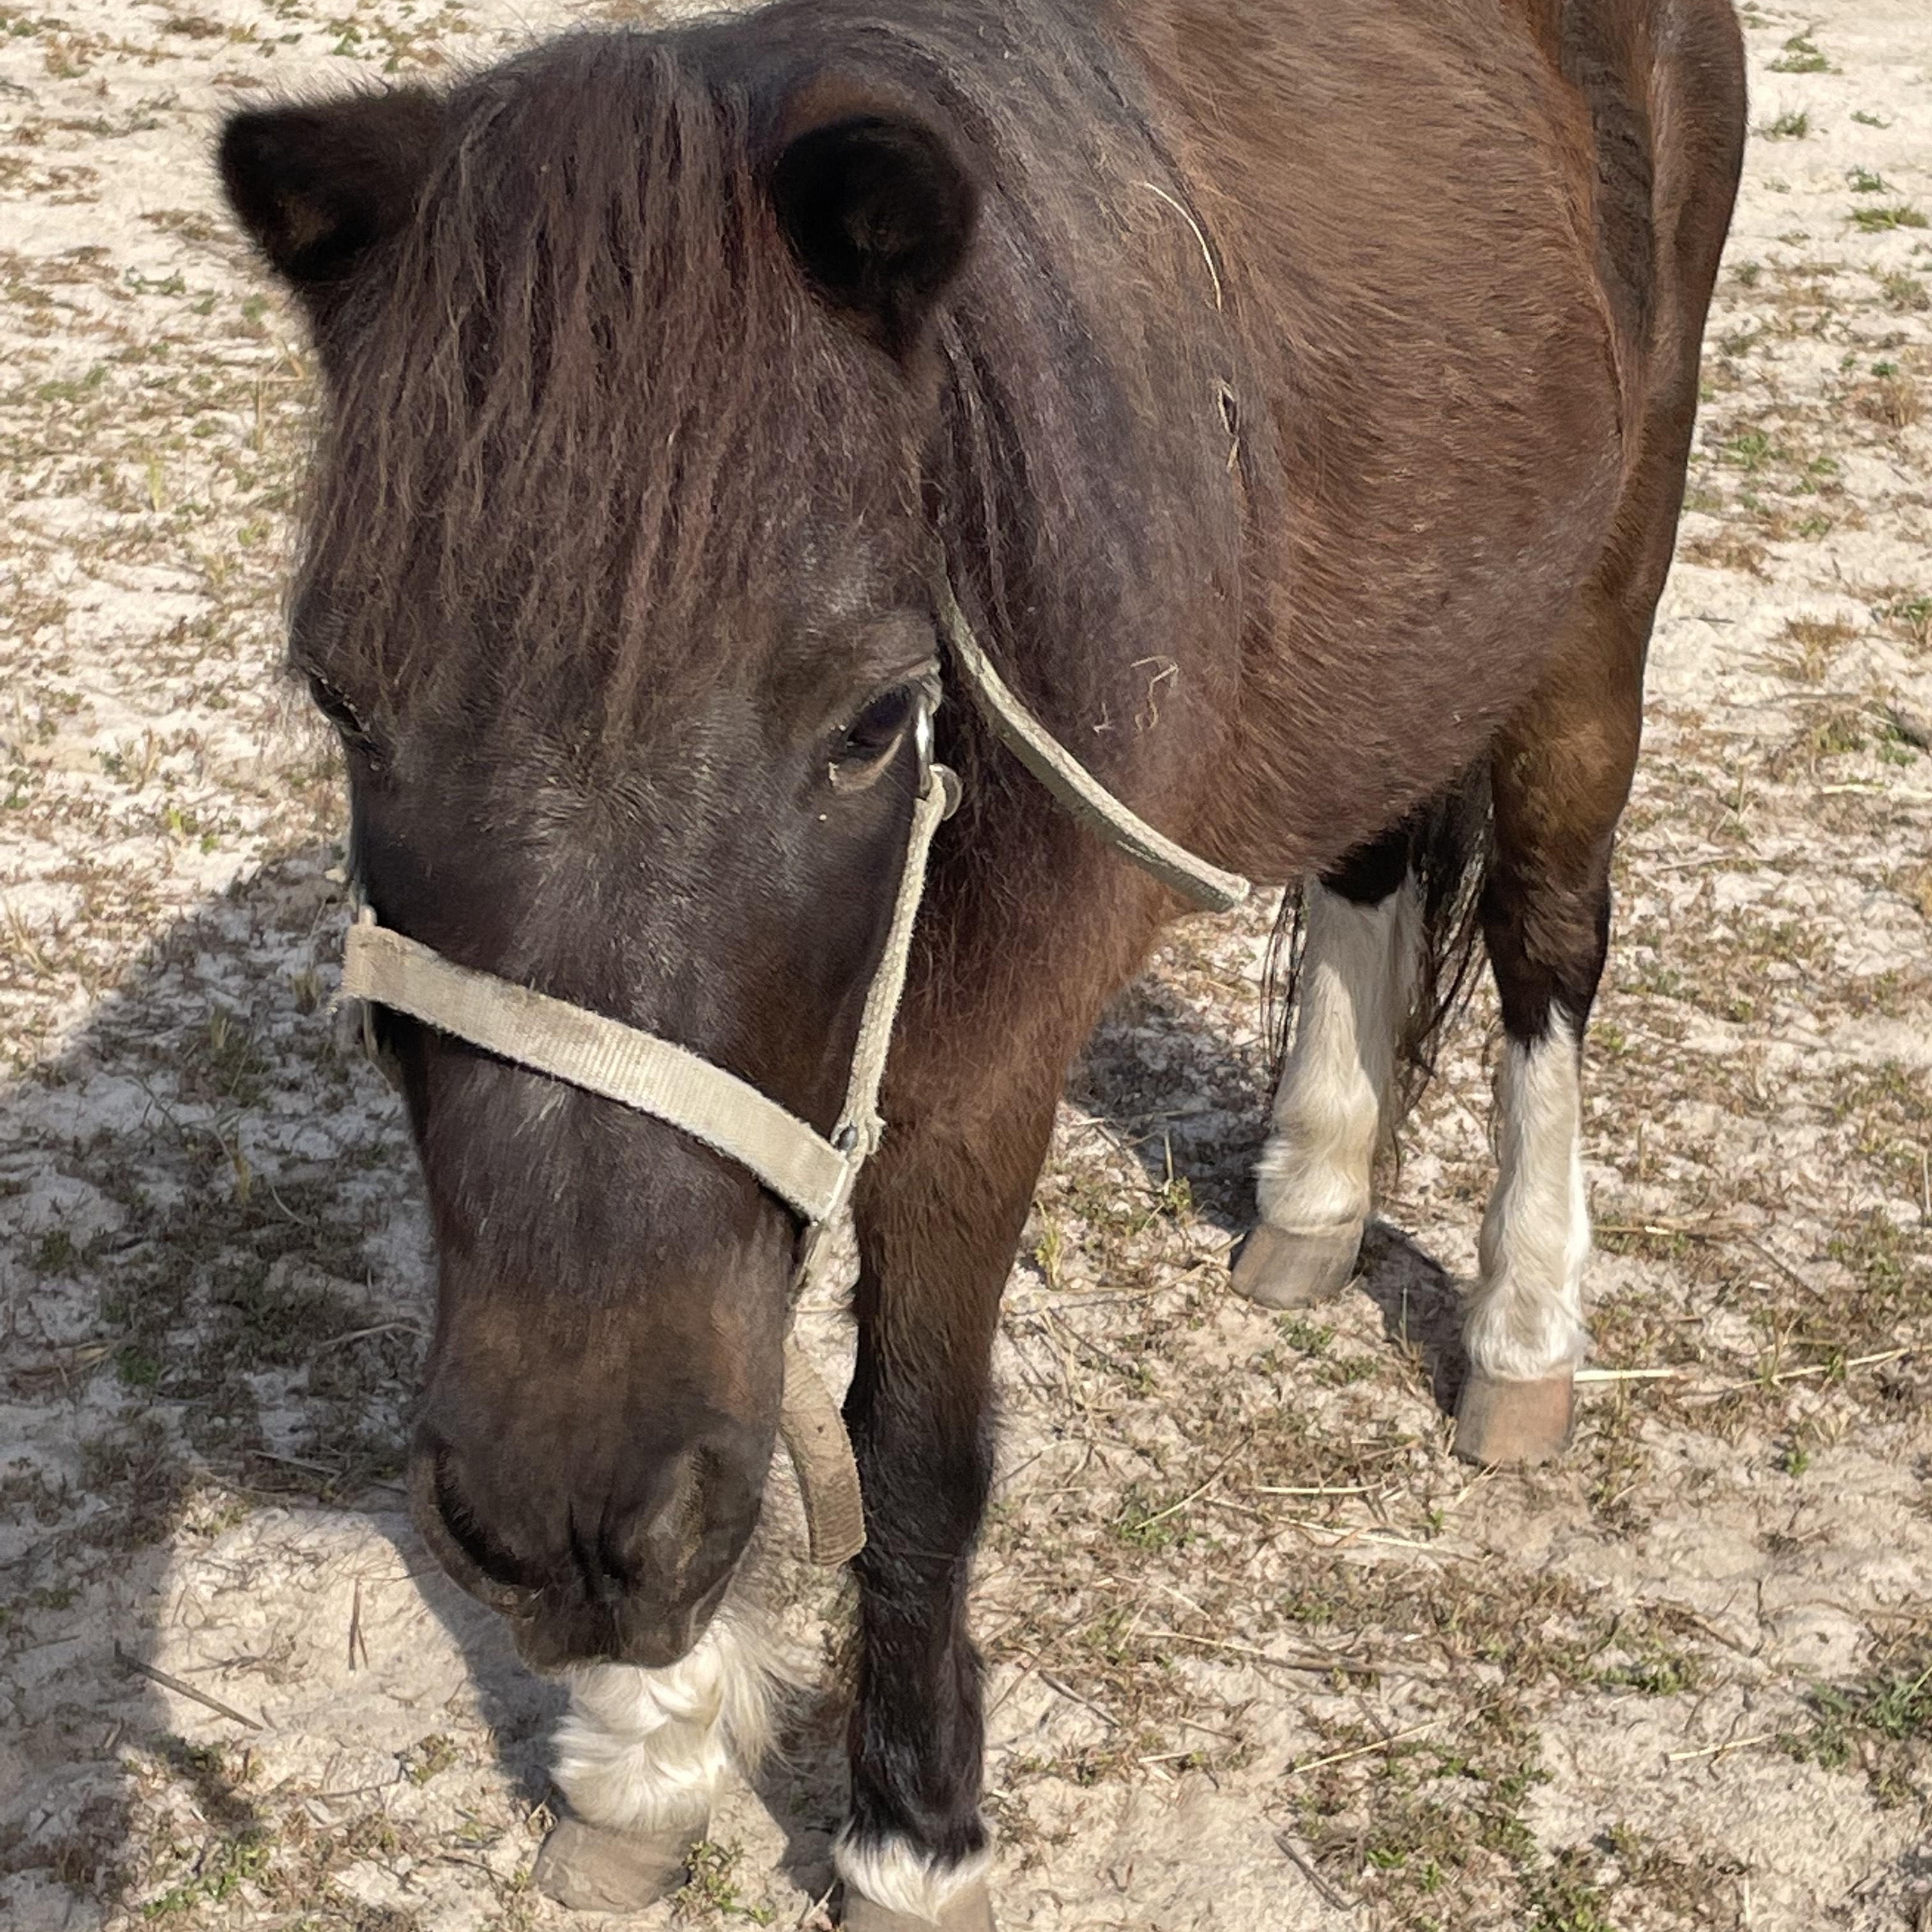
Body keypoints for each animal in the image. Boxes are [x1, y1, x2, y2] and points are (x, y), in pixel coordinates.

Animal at [218, 1, 1745, 1923]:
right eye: (346, 702)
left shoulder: (976, 1075)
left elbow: (912, 1445)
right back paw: (1317, 1195)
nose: (556, 1521)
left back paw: (1526, 1327)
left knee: (1551, 926)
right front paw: (646, 1753)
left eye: (874, 723)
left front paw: (910, 1822)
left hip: (1604, 591)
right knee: (1376, 845)